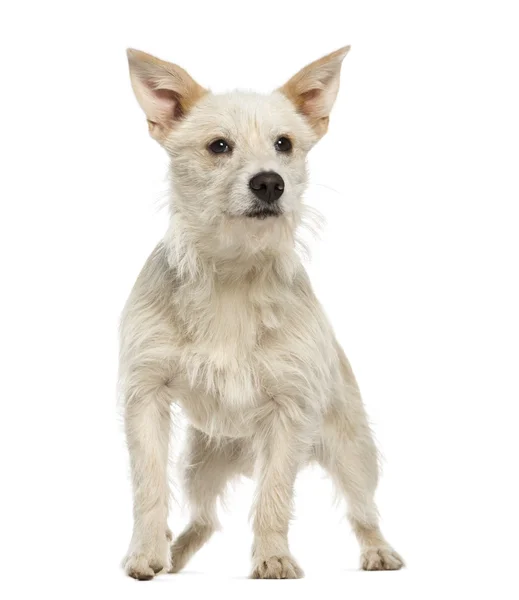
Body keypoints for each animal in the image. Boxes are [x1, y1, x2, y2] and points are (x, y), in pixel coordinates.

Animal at [120, 44, 404, 580]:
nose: (270, 183)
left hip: (352, 453)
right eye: (219, 147)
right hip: (201, 463)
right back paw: (173, 554)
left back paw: (378, 551)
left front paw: (273, 557)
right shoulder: (146, 398)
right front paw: (145, 552)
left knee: (364, 510)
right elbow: (148, 486)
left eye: (284, 144)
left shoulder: (287, 413)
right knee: (204, 520)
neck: (234, 270)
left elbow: (273, 494)